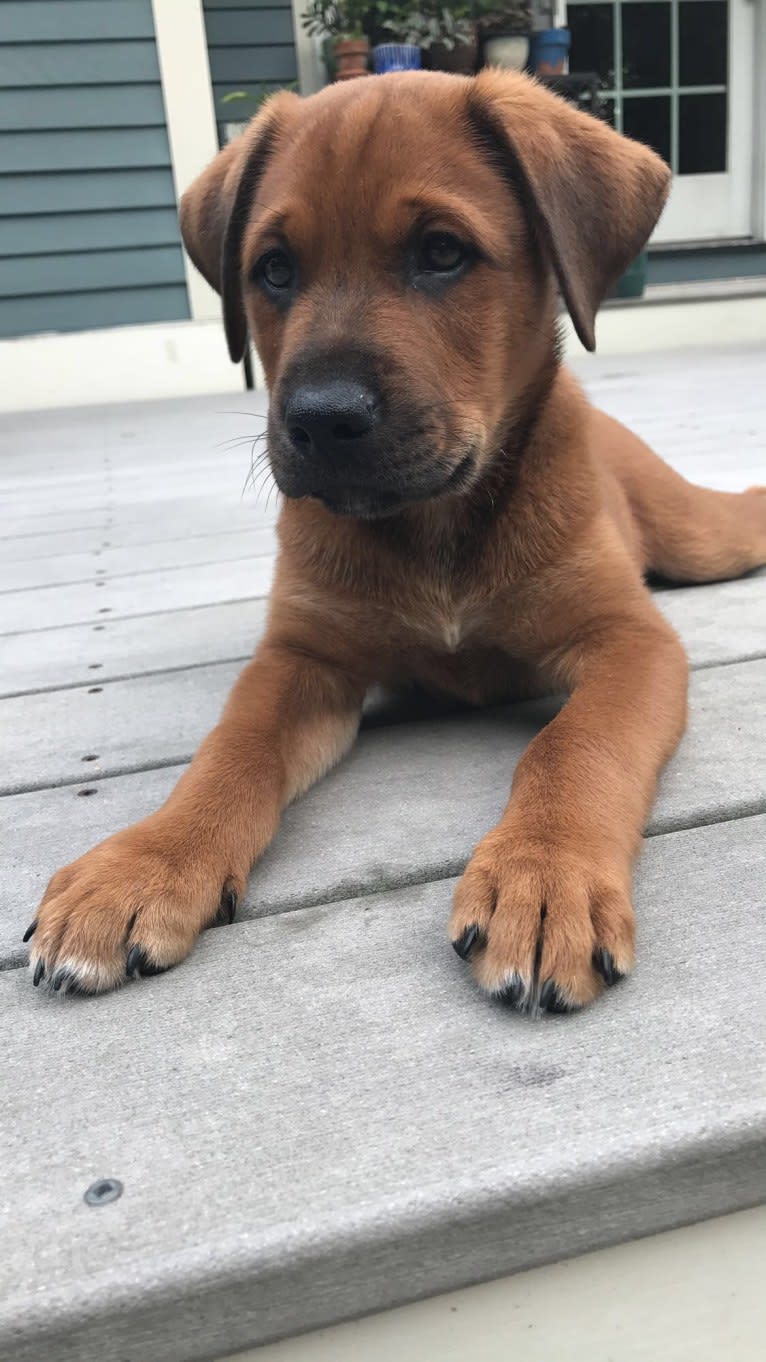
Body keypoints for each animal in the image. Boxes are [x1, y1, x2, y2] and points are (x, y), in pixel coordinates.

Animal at [28, 74, 763, 1013]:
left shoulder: (628, 641)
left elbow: (574, 745)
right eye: (274, 270)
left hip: (702, 536)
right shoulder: (302, 657)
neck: (435, 526)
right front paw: (142, 863)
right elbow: (228, 752)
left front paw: (544, 875)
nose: (320, 420)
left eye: (442, 253)